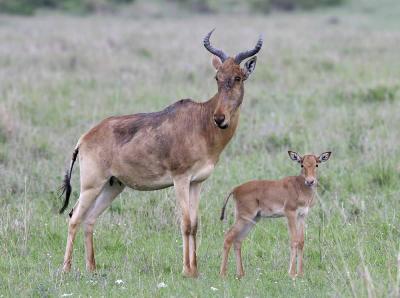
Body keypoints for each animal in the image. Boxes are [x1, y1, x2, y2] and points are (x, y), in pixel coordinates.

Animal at [57, 30, 260, 278]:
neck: (200, 121)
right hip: (92, 184)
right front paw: (186, 271)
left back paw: (92, 268)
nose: (220, 118)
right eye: (217, 78)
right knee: (74, 217)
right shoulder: (180, 179)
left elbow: (195, 224)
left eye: (238, 77)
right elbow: (185, 223)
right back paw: (66, 269)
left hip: (112, 185)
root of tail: (84, 138)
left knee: (89, 219)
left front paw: (195, 270)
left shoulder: (197, 182)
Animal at [219, 150, 332, 278]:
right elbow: (294, 240)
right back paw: (223, 274)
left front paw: (300, 273)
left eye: (316, 164)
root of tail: (235, 189)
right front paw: (292, 273)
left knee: (238, 240)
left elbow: (301, 241)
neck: (299, 186)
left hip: (252, 219)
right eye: (302, 164)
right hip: (244, 217)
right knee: (228, 236)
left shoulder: (302, 215)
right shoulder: (290, 213)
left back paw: (241, 274)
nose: (310, 181)